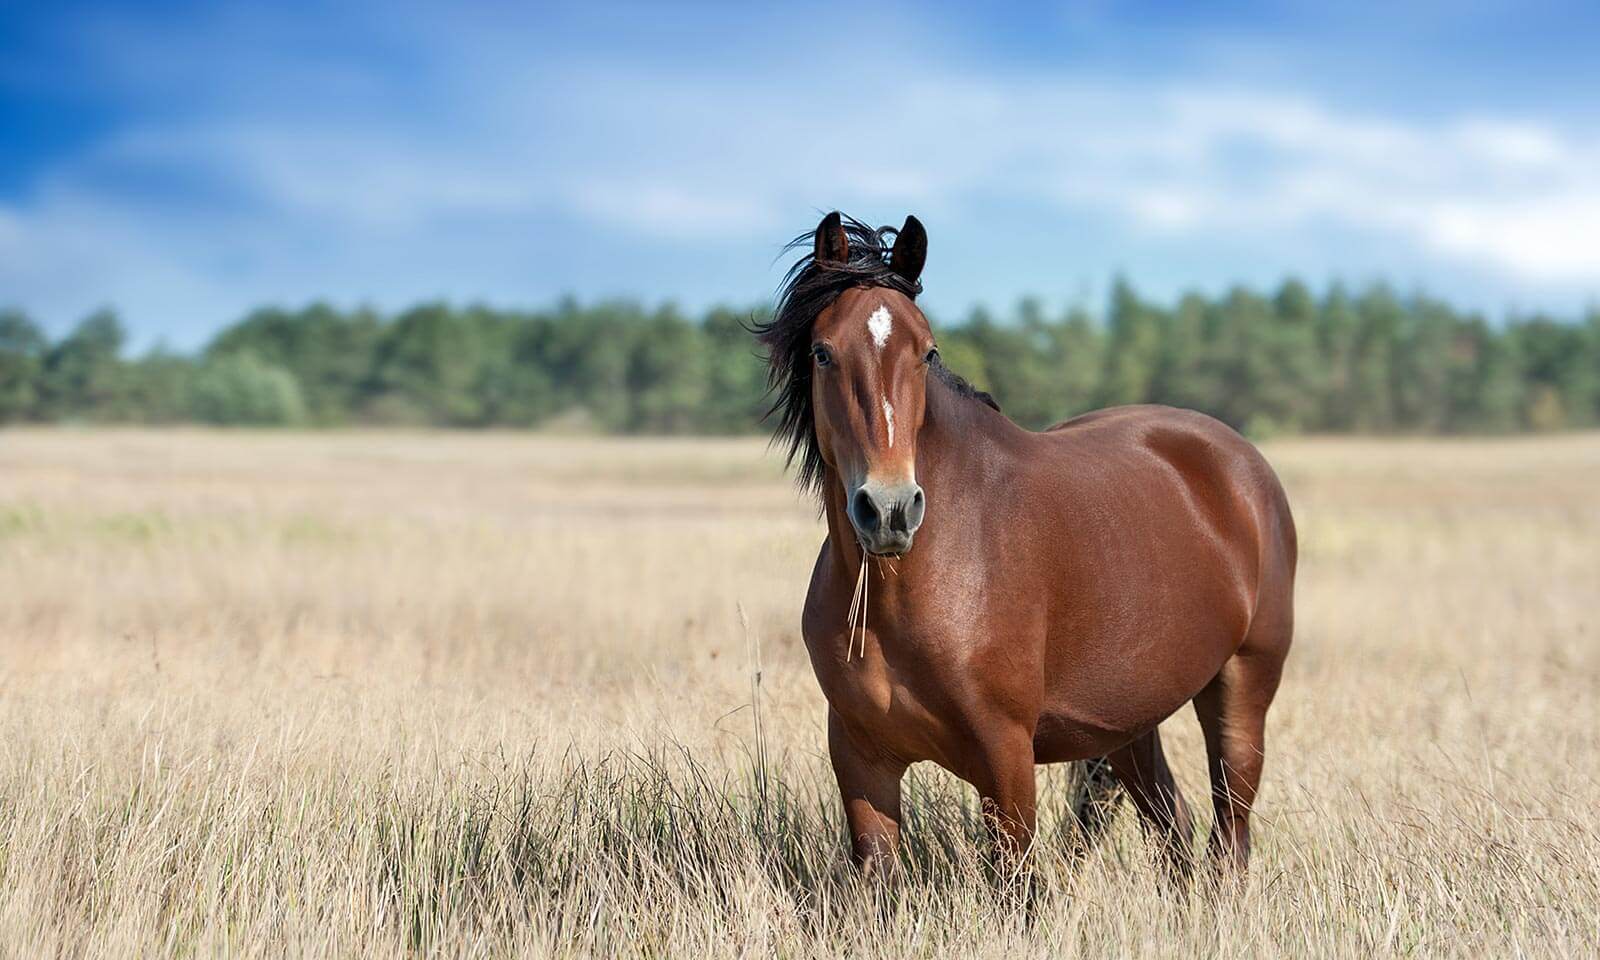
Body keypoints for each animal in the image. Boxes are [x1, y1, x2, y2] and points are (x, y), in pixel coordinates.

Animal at [755, 211, 1292, 883]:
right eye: (823, 352)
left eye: (927, 352)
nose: (890, 510)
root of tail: (1242, 464)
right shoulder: (861, 758)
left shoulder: (1005, 756)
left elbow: (1019, 886)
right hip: (1130, 723)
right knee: (1174, 827)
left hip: (1243, 688)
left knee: (1230, 834)